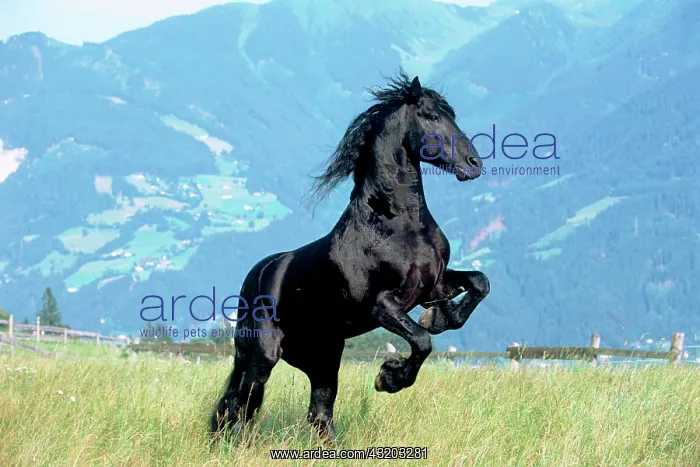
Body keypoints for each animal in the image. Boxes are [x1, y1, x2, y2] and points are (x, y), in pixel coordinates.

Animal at [210, 71, 490, 442]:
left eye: (451, 114)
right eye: (431, 116)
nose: (474, 165)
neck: (398, 224)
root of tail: (260, 273)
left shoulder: (432, 286)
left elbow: (478, 283)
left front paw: (440, 318)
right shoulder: (381, 305)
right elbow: (421, 340)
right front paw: (388, 378)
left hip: (324, 355)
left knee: (318, 411)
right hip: (264, 354)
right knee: (240, 403)